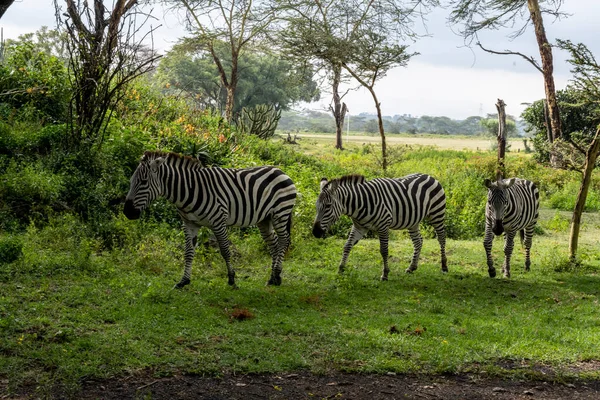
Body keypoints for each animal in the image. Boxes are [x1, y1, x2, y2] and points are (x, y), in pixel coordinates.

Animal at [124, 152, 298, 290]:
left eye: (143, 182)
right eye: (131, 181)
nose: (127, 212)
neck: (190, 190)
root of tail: (280, 170)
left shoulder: (218, 222)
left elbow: (225, 251)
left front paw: (232, 279)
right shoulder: (190, 224)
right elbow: (188, 252)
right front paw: (183, 281)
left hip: (280, 213)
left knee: (284, 240)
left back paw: (277, 274)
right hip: (264, 219)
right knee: (274, 243)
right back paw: (273, 278)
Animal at [312, 173, 448, 280]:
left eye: (328, 206)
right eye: (316, 206)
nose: (315, 232)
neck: (360, 204)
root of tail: (429, 176)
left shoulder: (383, 226)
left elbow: (384, 250)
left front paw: (385, 274)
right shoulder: (359, 227)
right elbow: (347, 246)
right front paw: (341, 269)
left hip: (437, 214)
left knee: (441, 238)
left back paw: (444, 267)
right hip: (413, 221)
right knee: (418, 241)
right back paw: (411, 267)